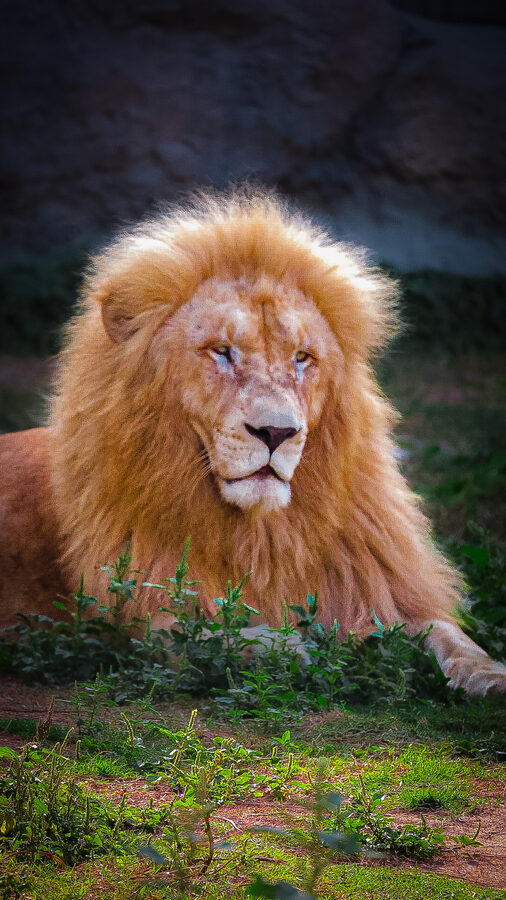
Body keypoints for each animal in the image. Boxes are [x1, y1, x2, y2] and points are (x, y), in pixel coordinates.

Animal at [0, 189, 504, 695]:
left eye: (302, 358)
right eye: (222, 352)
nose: (277, 433)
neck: (266, 534)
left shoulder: (382, 590)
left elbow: (448, 634)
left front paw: (489, 676)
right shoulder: (135, 622)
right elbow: (206, 635)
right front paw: (289, 647)